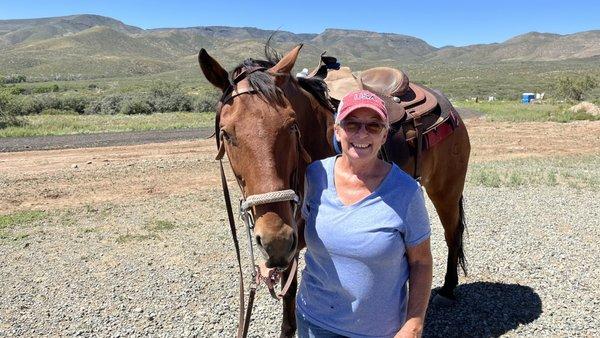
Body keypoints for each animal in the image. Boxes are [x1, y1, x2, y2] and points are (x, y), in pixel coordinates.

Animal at [199, 43, 472, 336]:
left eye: (292, 125)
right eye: (226, 133)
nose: (276, 237)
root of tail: (449, 107)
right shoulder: (289, 250)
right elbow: (289, 310)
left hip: (446, 191)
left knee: (452, 233)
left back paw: (447, 289)